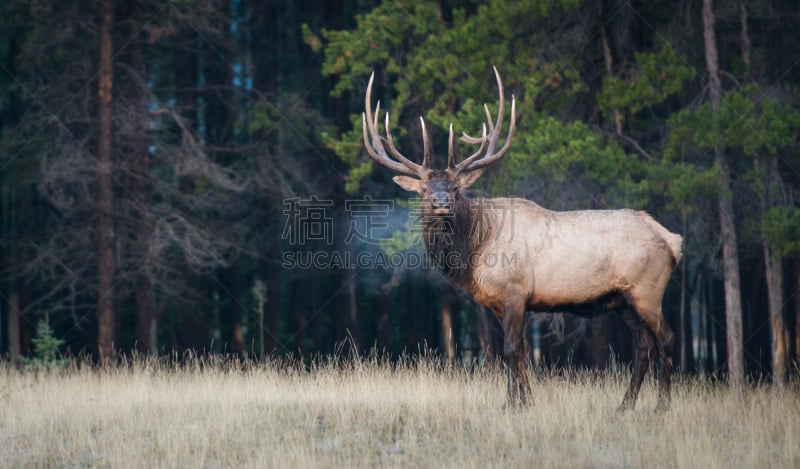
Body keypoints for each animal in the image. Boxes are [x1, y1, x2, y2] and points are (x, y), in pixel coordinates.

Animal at [362, 66, 680, 410]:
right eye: (423, 189)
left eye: (456, 187)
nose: (441, 201)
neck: (476, 249)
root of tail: (672, 240)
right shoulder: (499, 302)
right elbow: (520, 354)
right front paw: (523, 401)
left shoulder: (515, 291)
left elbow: (511, 350)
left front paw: (514, 403)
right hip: (622, 299)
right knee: (644, 345)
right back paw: (625, 406)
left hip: (647, 289)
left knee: (666, 338)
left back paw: (662, 406)